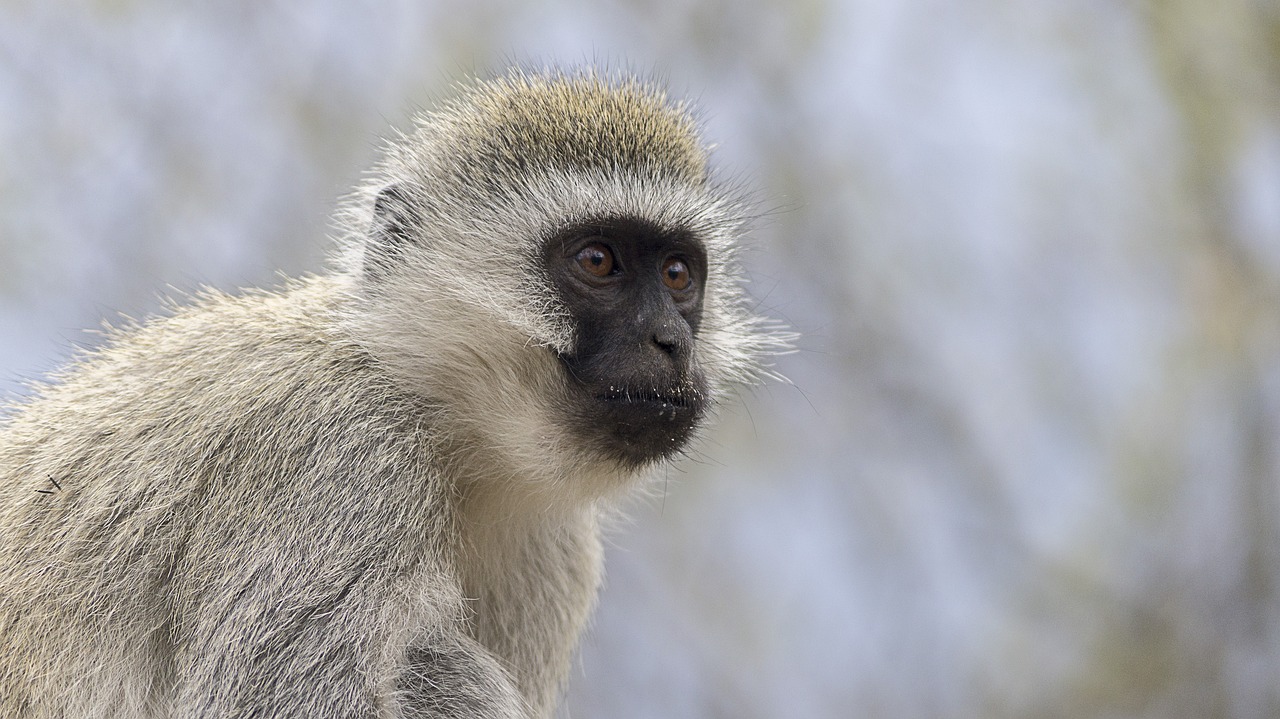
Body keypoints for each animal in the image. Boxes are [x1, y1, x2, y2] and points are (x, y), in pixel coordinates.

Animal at [0, 68, 783, 716]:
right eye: (598, 261)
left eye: (678, 275)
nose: (671, 341)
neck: (439, 416)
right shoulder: (342, 459)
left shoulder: (552, 551)